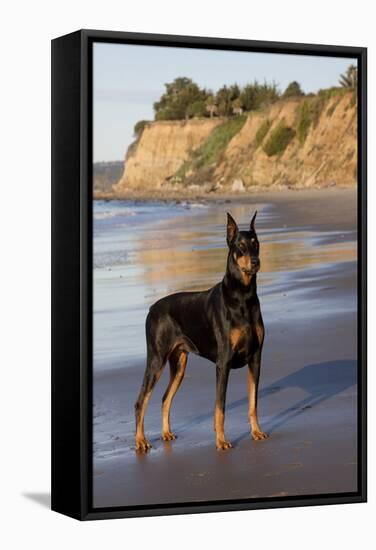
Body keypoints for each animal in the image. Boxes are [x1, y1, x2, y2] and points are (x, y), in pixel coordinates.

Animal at [134, 211, 266, 452]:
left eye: (256, 243)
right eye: (240, 245)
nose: (256, 262)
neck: (243, 295)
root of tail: (152, 308)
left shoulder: (256, 358)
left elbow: (253, 402)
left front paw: (256, 432)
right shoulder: (223, 362)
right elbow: (220, 407)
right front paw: (221, 441)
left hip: (179, 364)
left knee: (165, 398)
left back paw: (166, 433)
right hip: (156, 359)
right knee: (141, 401)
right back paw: (140, 441)